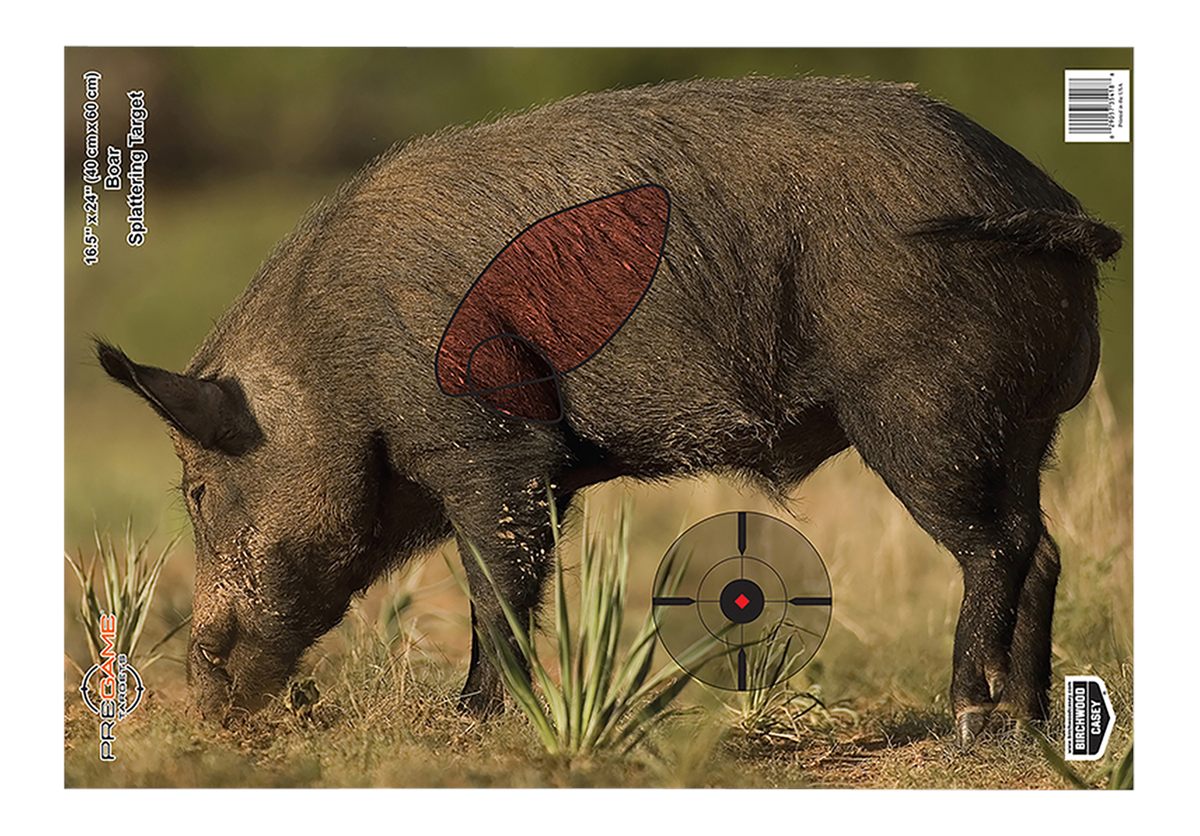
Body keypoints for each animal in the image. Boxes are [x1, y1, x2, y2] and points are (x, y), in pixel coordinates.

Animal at [96, 76, 1120, 746]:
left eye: (197, 490)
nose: (200, 698)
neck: (333, 373)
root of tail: (1053, 202)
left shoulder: (494, 446)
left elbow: (495, 588)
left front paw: (469, 722)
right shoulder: (533, 470)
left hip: (926, 412)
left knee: (997, 547)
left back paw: (970, 715)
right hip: (1025, 429)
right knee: (1043, 546)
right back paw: (1030, 724)